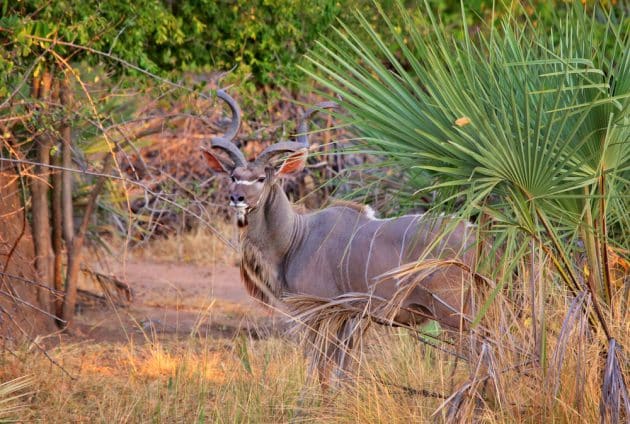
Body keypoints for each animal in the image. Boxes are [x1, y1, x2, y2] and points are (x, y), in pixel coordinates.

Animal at [206, 91, 478, 382]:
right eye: (233, 176)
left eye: (259, 178)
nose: (237, 198)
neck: (295, 238)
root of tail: (476, 236)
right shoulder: (349, 318)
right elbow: (339, 370)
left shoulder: (320, 313)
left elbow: (321, 369)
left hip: (454, 314)